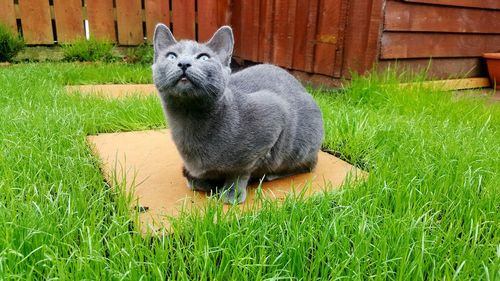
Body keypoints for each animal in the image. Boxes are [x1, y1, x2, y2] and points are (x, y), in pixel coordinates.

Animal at [152, 24, 324, 203]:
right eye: (171, 56)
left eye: (204, 58)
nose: (184, 63)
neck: (188, 118)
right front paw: (201, 181)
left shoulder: (275, 111)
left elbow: (241, 170)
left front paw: (231, 192)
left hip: (302, 143)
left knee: (308, 165)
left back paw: (271, 175)